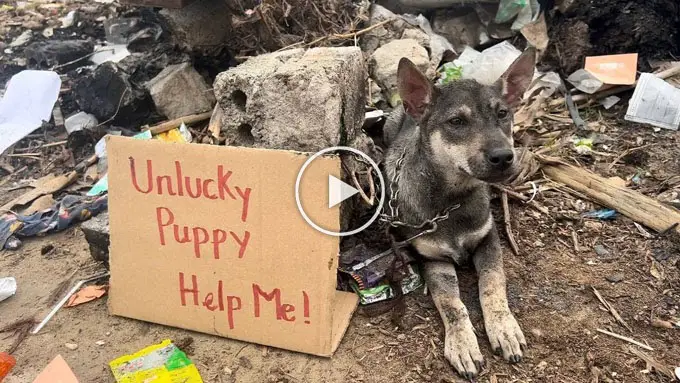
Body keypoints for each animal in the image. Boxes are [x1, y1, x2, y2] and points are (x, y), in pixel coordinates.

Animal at [382, 47, 536, 378]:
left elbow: (492, 283)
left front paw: (503, 327)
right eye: (456, 121)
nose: (504, 157)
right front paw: (463, 343)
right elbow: (450, 303)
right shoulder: (432, 258)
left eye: (502, 114)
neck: (452, 201)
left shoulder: (488, 239)